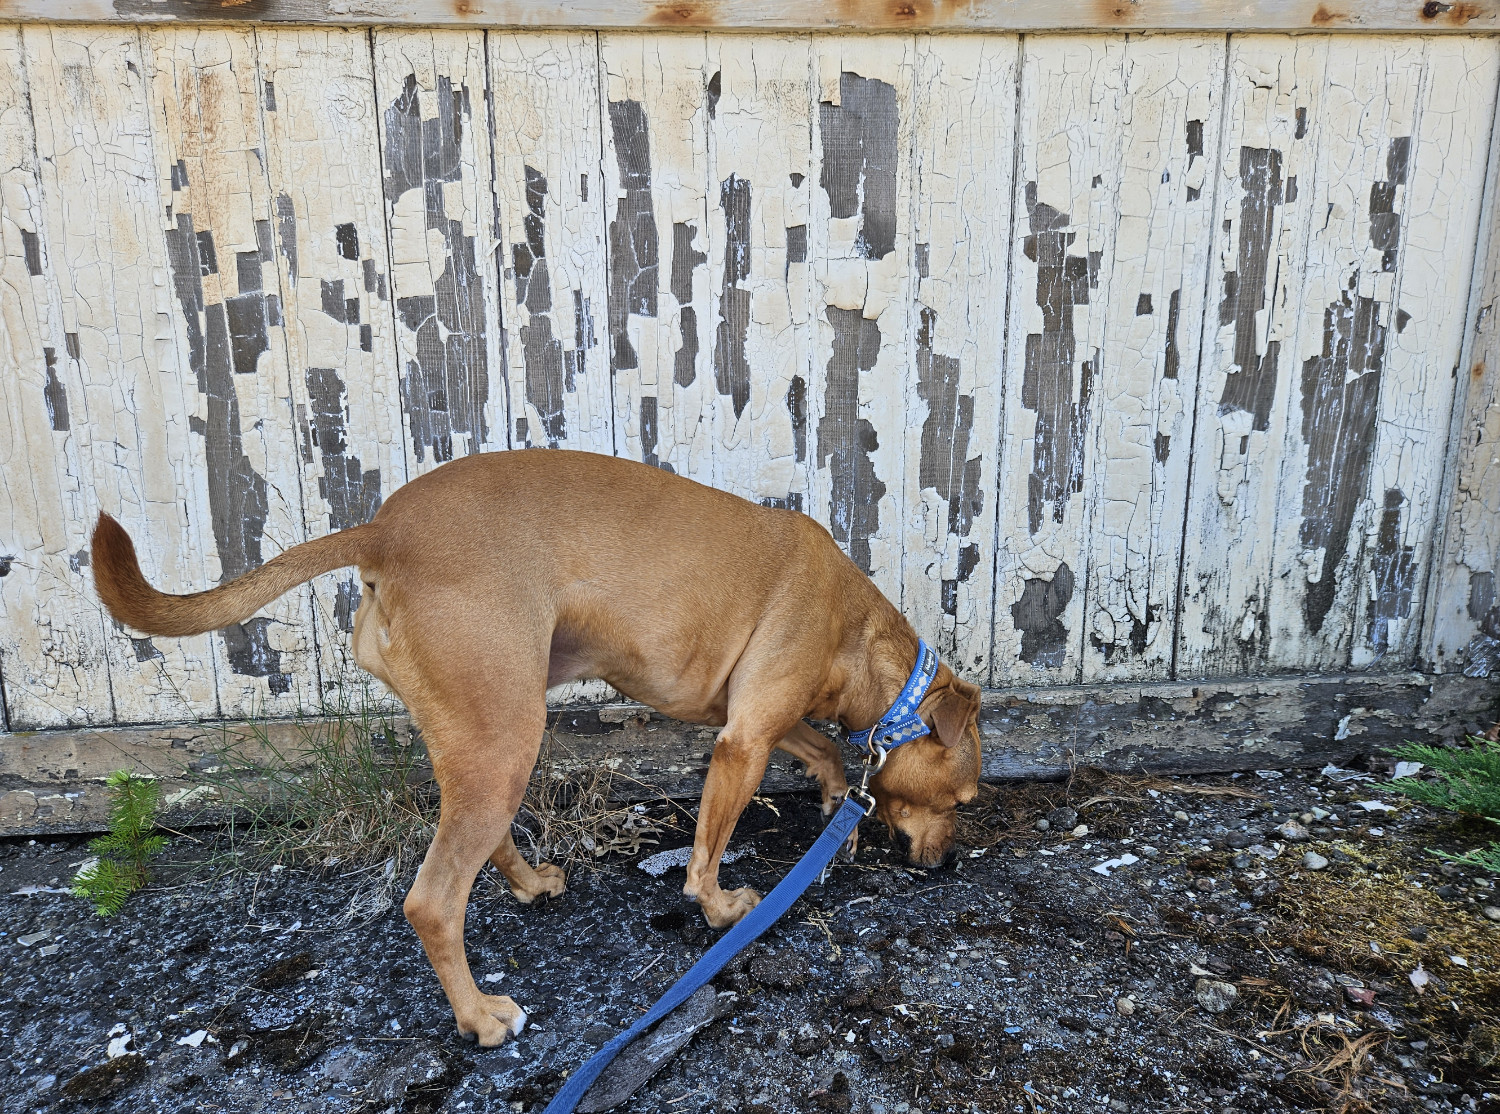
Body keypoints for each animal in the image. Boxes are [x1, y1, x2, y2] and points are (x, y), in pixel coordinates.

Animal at [93, 449, 984, 1043]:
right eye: (966, 799)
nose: (945, 866)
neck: (863, 641)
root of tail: (384, 532)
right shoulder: (743, 741)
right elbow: (710, 848)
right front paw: (720, 905)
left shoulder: (758, 718)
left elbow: (828, 750)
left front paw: (837, 802)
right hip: (505, 737)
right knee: (432, 899)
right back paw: (481, 1017)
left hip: (484, 739)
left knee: (479, 844)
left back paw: (529, 885)